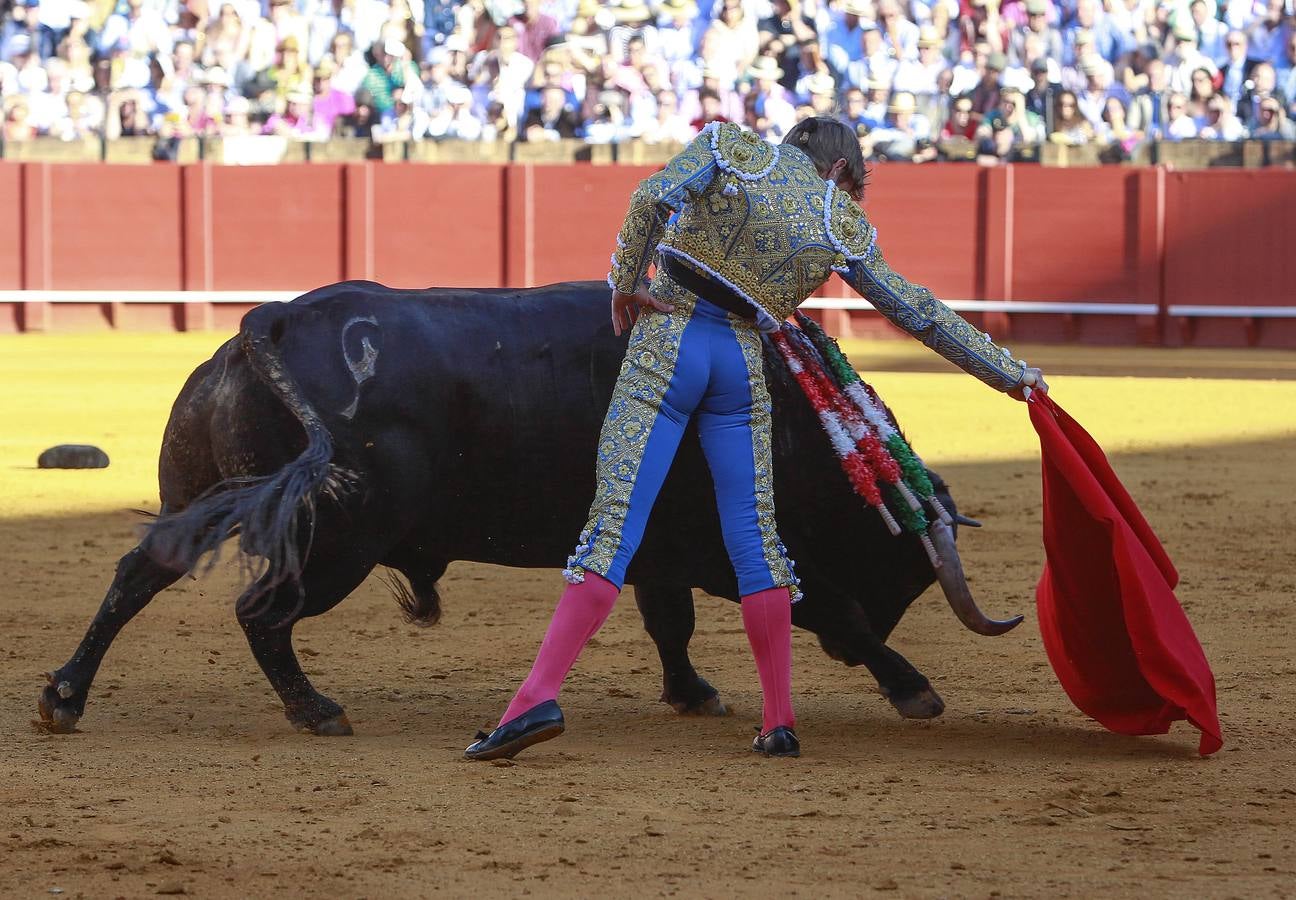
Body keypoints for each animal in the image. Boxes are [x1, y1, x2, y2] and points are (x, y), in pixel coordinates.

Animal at [35, 282, 1016, 741]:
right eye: (899, 570)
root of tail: (269, 323)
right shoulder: (733, 545)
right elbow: (828, 615)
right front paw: (914, 688)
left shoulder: (660, 549)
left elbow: (669, 624)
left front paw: (693, 693)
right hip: (337, 541)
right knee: (261, 613)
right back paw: (317, 711)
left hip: (202, 498)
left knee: (139, 574)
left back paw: (63, 697)